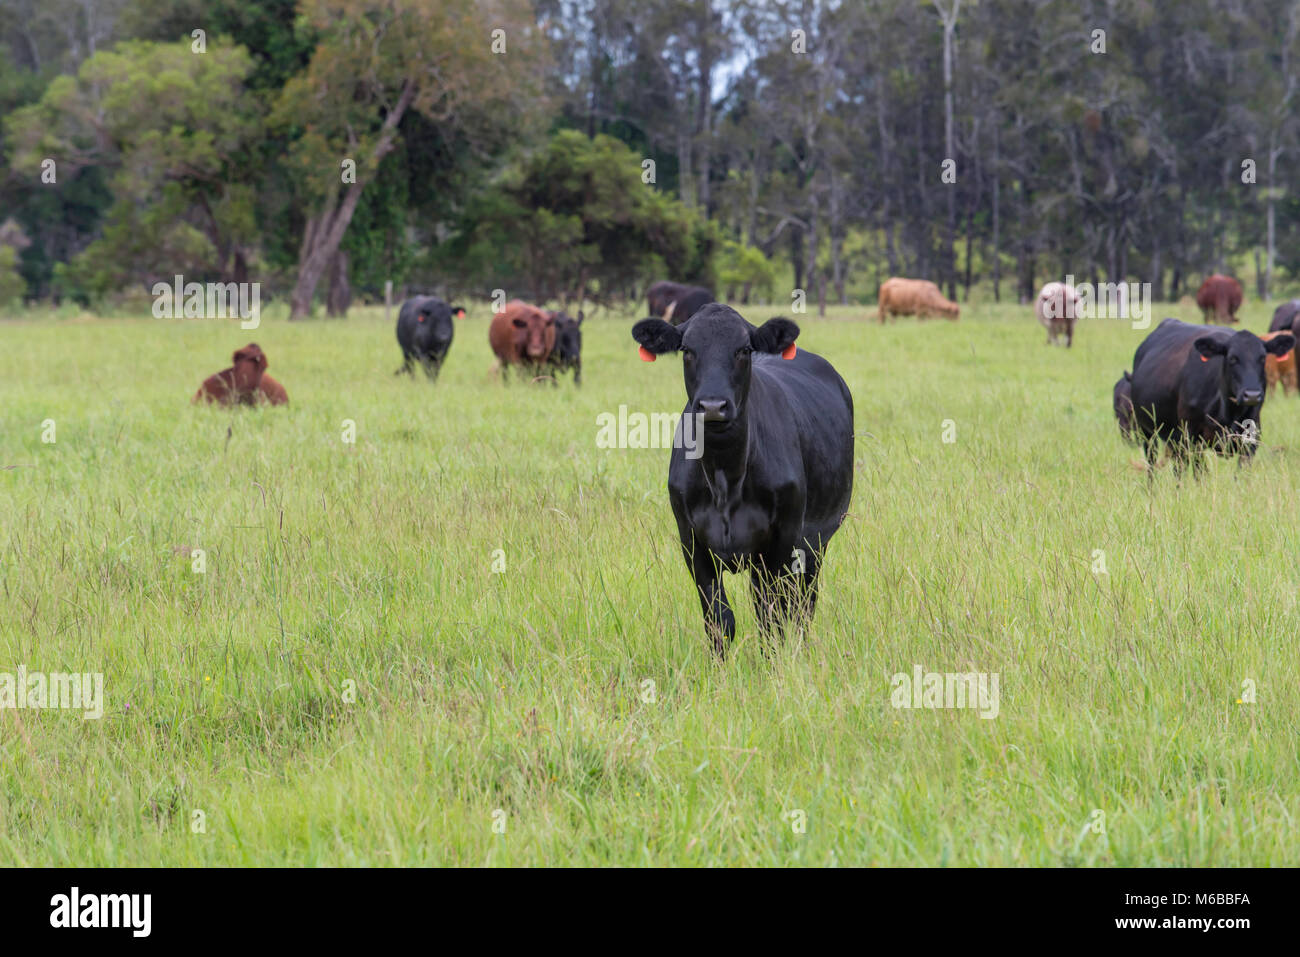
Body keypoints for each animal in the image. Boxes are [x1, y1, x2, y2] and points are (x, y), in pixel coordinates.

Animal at [634, 306, 857, 657]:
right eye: (687, 350)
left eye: (743, 350)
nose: (713, 405)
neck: (725, 477)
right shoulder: (692, 543)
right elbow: (720, 621)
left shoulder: (780, 540)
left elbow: (772, 618)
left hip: (816, 541)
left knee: (803, 604)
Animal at [1128, 317, 1289, 475]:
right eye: (1232, 358)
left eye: (1263, 358)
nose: (1252, 395)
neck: (1227, 412)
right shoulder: (1192, 436)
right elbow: (1201, 473)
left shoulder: (1252, 436)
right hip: (1147, 431)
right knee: (1152, 462)